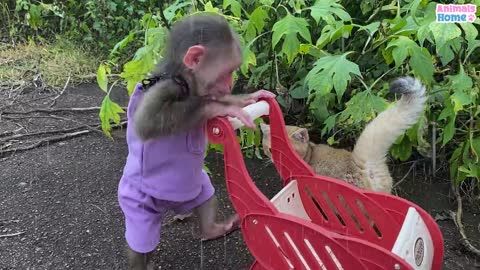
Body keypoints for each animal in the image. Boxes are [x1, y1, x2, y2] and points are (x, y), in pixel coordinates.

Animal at [116, 13, 276, 270]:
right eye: (227, 72)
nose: (230, 85)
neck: (186, 82)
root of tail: (168, 206)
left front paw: (247, 98)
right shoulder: (166, 87)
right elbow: (146, 123)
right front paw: (220, 108)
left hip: (197, 188)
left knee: (205, 200)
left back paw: (212, 230)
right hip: (138, 206)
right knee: (141, 244)